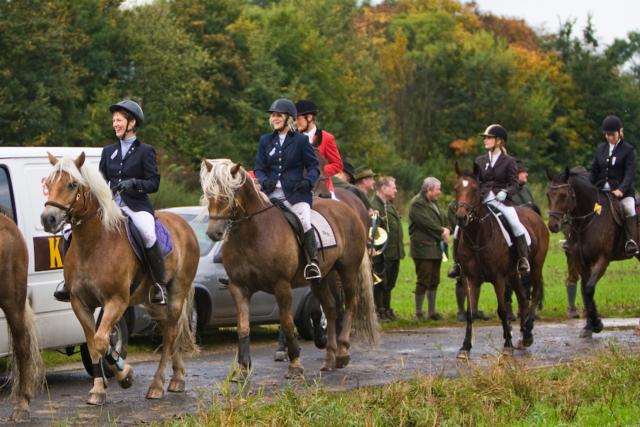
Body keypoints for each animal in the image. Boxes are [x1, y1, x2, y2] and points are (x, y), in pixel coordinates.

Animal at [40, 153, 199, 405]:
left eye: (72, 184)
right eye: (48, 184)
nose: (48, 219)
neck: (93, 244)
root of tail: (183, 224)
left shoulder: (116, 301)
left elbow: (103, 340)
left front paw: (125, 375)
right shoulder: (79, 303)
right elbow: (94, 343)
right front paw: (98, 389)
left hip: (177, 293)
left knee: (171, 334)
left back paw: (157, 385)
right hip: (152, 301)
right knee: (169, 330)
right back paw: (177, 379)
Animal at [200, 159, 378, 378]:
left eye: (228, 195)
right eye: (208, 194)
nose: (214, 233)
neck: (251, 234)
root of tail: (347, 208)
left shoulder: (281, 286)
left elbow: (286, 322)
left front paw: (295, 365)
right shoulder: (238, 288)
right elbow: (243, 326)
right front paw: (242, 369)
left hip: (347, 270)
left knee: (351, 303)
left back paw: (343, 352)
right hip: (321, 278)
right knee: (330, 308)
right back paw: (329, 358)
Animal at [454, 163, 549, 359]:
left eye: (475, 189)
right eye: (455, 188)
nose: (461, 217)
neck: (477, 237)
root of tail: (533, 214)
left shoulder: (498, 278)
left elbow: (502, 309)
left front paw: (507, 345)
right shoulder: (469, 278)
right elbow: (470, 313)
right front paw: (465, 347)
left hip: (536, 267)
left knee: (534, 294)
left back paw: (528, 332)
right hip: (513, 274)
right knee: (522, 298)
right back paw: (523, 336)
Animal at [546, 168, 640, 337]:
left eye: (564, 195)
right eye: (548, 195)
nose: (553, 226)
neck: (587, 220)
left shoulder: (602, 260)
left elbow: (589, 289)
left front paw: (596, 323)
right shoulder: (581, 261)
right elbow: (585, 291)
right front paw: (590, 325)